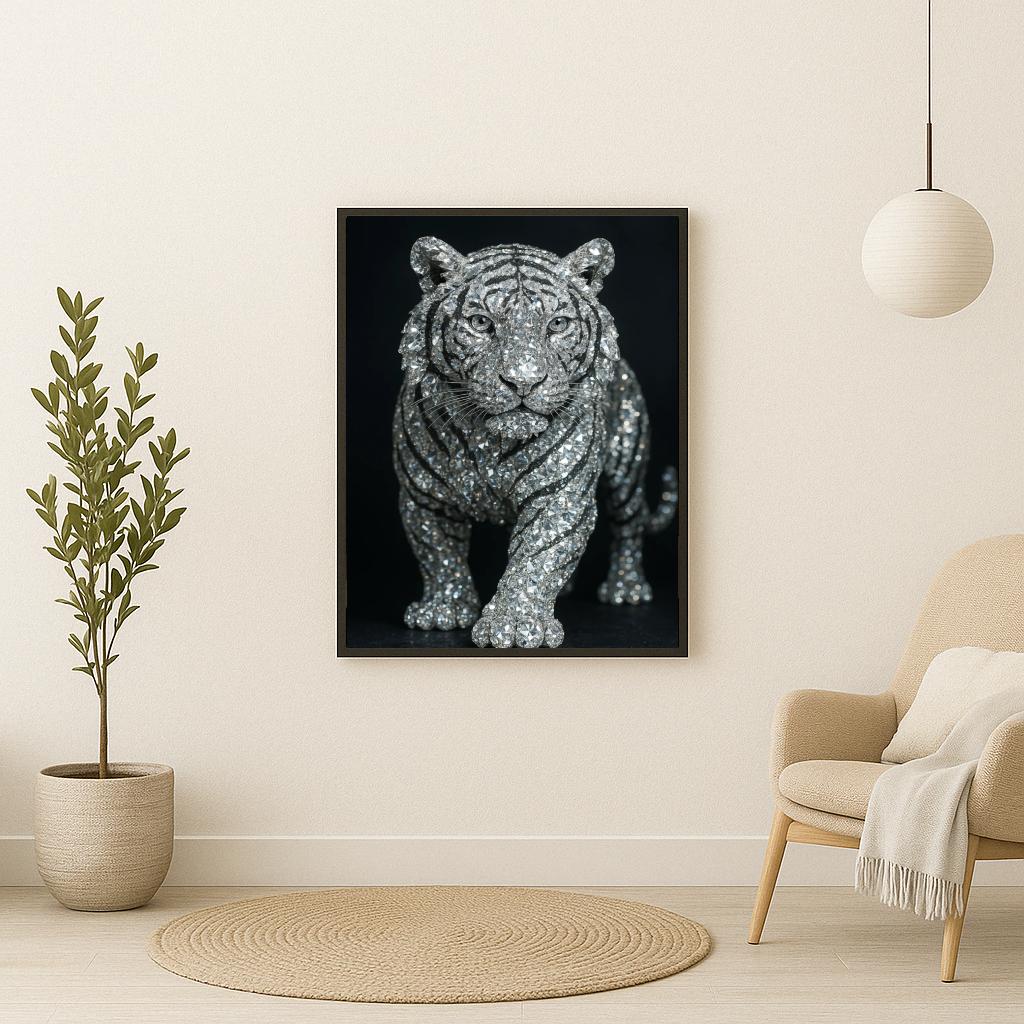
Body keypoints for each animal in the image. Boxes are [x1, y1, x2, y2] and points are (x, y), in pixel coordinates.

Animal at [392, 235, 678, 649]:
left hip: (627, 461)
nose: (523, 381)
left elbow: (537, 556)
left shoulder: (558, 496)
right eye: (481, 322)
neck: (488, 441)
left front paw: (515, 624)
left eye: (557, 324)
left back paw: (626, 588)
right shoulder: (425, 497)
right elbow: (437, 552)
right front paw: (442, 610)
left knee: (629, 526)